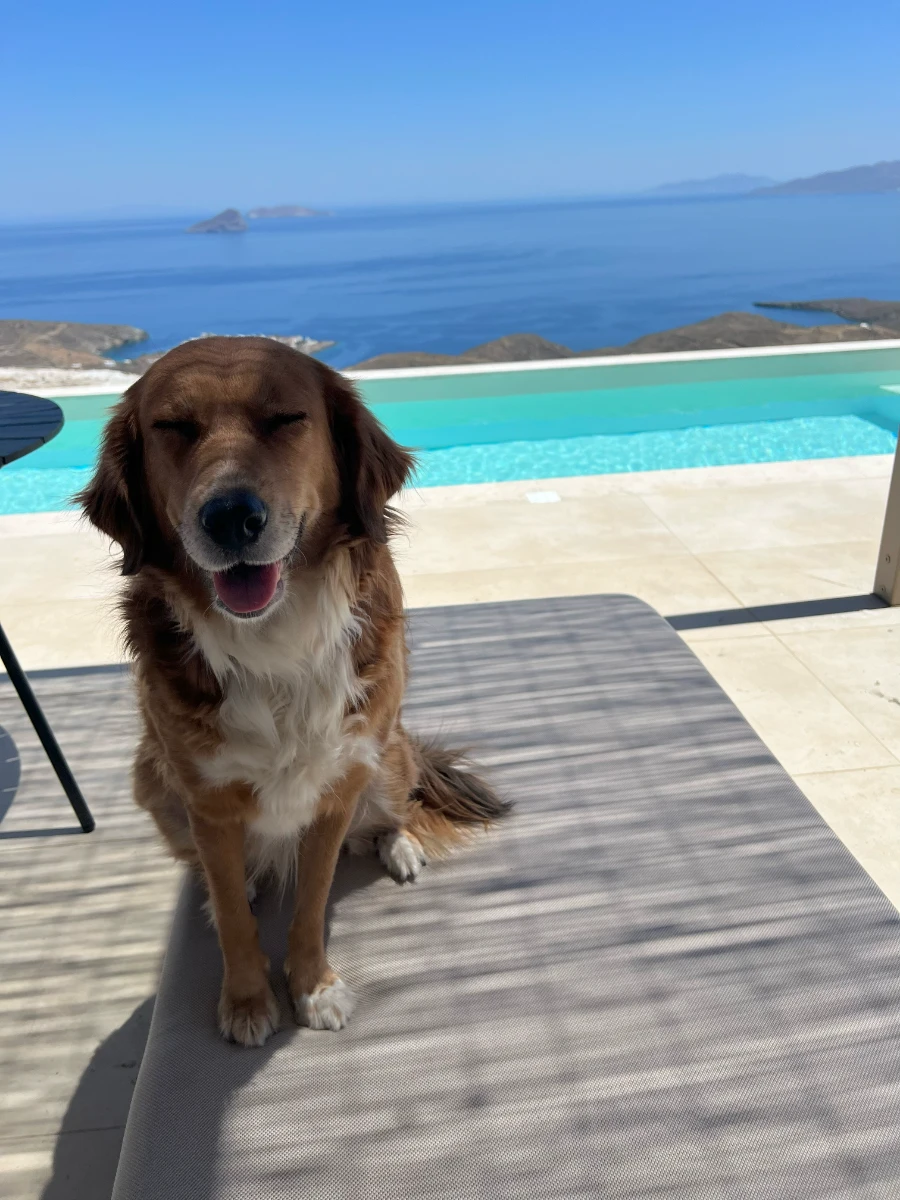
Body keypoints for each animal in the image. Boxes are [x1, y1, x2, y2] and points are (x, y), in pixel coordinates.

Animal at [79, 336, 507, 1047]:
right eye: (174, 427)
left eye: (285, 419)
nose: (230, 517)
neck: (274, 639)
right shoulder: (206, 799)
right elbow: (232, 914)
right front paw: (249, 999)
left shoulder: (339, 784)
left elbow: (312, 899)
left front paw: (314, 987)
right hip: (153, 782)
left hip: (388, 758)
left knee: (394, 809)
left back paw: (399, 845)